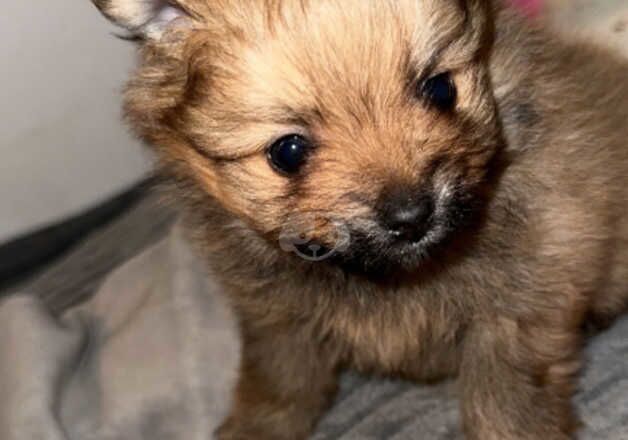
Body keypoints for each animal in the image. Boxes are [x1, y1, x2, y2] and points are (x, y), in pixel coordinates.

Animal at [92, 0, 628, 438]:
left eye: (440, 90)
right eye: (288, 152)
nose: (413, 214)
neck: (391, 275)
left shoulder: (519, 307)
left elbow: (506, 403)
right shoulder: (278, 321)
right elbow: (277, 385)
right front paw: (252, 428)